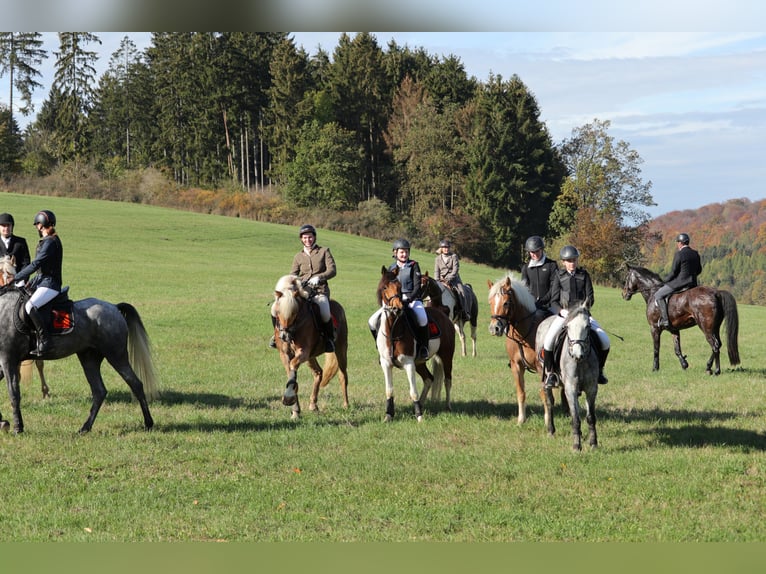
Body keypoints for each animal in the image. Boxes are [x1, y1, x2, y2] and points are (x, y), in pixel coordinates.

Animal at [0, 258, 158, 436]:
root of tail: (114, 307)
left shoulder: (8, 359)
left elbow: (14, 393)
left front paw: (17, 427)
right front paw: (3, 422)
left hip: (116, 355)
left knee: (135, 383)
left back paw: (148, 423)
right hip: (89, 357)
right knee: (99, 391)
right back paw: (85, 428)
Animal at [272, 274, 352, 418]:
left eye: (294, 313)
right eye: (278, 312)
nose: (284, 336)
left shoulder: (302, 352)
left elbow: (293, 366)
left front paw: (288, 398)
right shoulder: (285, 354)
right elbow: (291, 375)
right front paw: (295, 410)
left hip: (341, 350)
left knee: (343, 376)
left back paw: (346, 404)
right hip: (311, 356)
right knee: (318, 373)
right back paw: (313, 405)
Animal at [376, 268, 456, 426]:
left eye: (399, 287)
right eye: (385, 287)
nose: (398, 307)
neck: (393, 329)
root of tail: (443, 314)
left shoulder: (408, 364)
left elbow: (413, 391)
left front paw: (419, 416)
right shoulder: (386, 364)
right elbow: (389, 390)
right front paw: (388, 415)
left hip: (446, 357)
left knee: (447, 380)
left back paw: (448, 406)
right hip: (420, 363)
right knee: (429, 379)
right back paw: (422, 405)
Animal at [486, 274, 552, 428]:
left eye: (506, 303)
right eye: (490, 302)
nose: (494, 329)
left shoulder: (541, 368)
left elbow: (543, 394)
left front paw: (547, 422)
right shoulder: (516, 366)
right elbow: (521, 392)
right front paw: (521, 419)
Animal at [536, 304, 600, 452]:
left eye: (587, 326)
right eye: (568, 327)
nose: (577, 354)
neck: (581, 362)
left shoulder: (591, 388)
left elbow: (590, 417)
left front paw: (593, 443)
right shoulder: (571, 388)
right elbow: (576, 418)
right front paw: (576, 446)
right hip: (545, 379)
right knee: (549, 403)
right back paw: (551, 430)